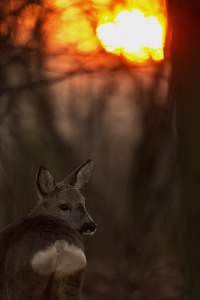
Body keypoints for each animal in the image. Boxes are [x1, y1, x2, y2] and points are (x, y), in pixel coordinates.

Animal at [0, 158, 96, 298]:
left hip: (22, 282)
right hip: (72, 280)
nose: (91, 225)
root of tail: (59, 244)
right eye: (64, 206)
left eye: (83, 202)